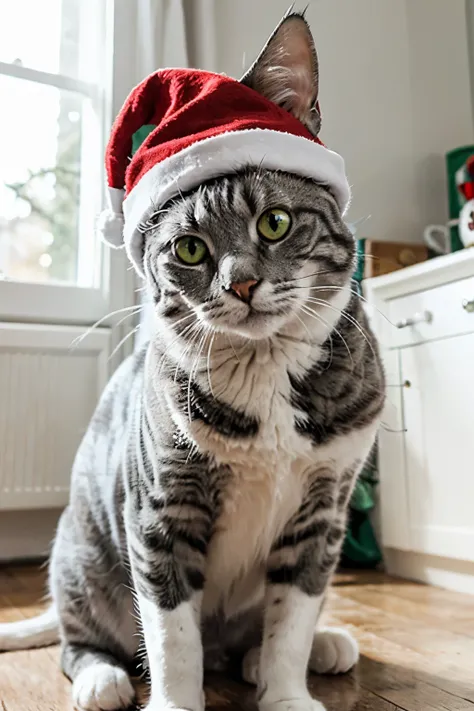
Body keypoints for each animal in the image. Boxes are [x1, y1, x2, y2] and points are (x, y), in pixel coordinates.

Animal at [0, 11, 386, 711]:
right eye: (189, 248)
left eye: (275, 222)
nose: (240, 284)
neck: (266, 368)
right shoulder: (161, 510)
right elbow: (173, 637)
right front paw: (175, 700)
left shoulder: (324, 510)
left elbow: (293, 616)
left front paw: (287, 689)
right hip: (81, 553)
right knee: (80, 637)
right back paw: (102, 677)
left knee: (261, 636)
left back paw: (310, 647)